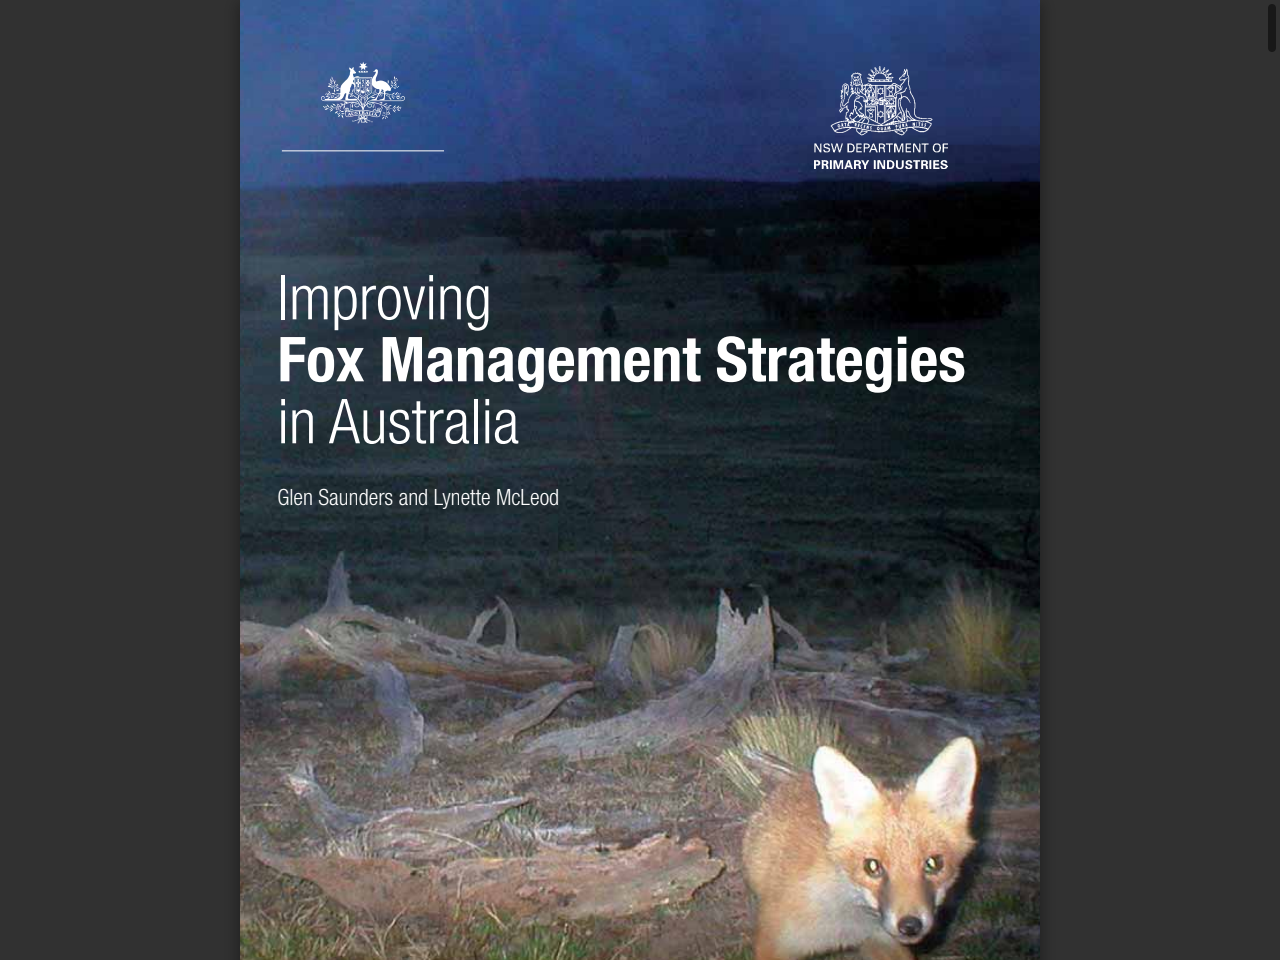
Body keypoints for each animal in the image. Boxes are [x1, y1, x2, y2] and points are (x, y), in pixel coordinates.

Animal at [742, 737, 979, 960]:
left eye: (933, 863)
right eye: (872, 867)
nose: (910, 926)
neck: (847, 926)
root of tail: (799, 777)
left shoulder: (885, 942)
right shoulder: (774, 942)